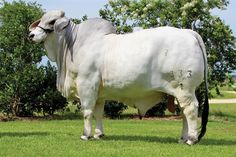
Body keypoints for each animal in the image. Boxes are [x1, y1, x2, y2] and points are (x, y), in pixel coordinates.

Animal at [29, 10, 208, 145]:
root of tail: (188, 32)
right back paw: (183, 138)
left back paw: (191, 139)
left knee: (191, 110)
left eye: (52, 21)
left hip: (185, 88)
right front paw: (98, 134)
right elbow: (98, 113)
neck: (74, 44)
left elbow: (87, 111)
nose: (30, 35)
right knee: (184, 112)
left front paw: (86, 134)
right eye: (41, 20)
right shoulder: (99, 93)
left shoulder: (86, 84)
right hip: (180, 91)